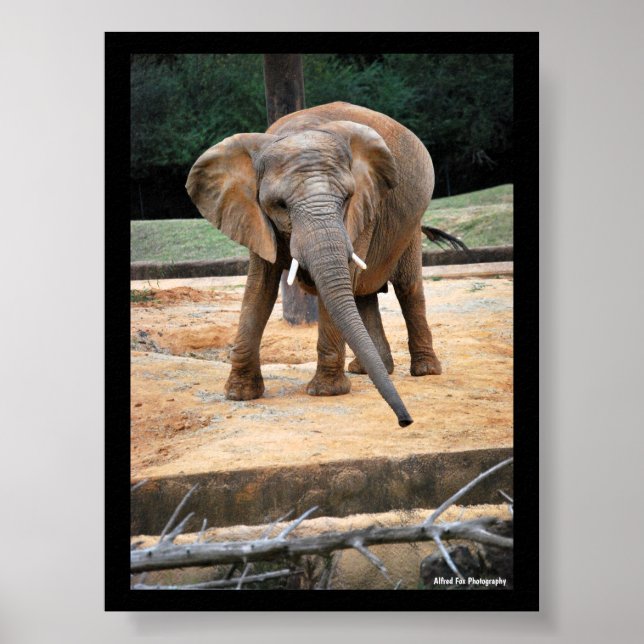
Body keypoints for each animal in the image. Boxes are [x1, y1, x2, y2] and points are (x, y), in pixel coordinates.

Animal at [186, 101, 443, 427]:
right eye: (280, 205)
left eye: (346, 198)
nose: (405, 421)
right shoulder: (253, 215)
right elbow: (258, 288)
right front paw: (239, 394)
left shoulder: (363, 207)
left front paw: (326, 392)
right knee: (362, 295)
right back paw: (369, 370)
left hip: (410, 226)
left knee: (407, 288)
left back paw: (425, 371)